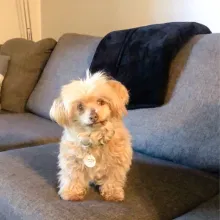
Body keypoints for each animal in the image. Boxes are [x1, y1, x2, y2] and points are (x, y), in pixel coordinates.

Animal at [49, 71, 132, 201]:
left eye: (101, 102)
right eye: (80, 107)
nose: (93, 116)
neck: (94, 136)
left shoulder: (117, 163)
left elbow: (113, 178)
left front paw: (113, 193)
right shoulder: (72, 160)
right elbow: (73, 176)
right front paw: (72, 192)